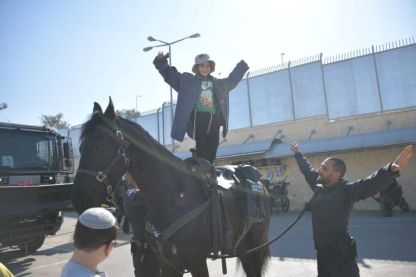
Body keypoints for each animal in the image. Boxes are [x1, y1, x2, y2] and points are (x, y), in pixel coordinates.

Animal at [70, 99, 272, 276]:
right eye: (80, 149)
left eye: (98, 146)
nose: (79, 199)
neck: (175, 198)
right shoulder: (168, 263)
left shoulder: (197, 260)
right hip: (244, 248)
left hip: (255, 247)